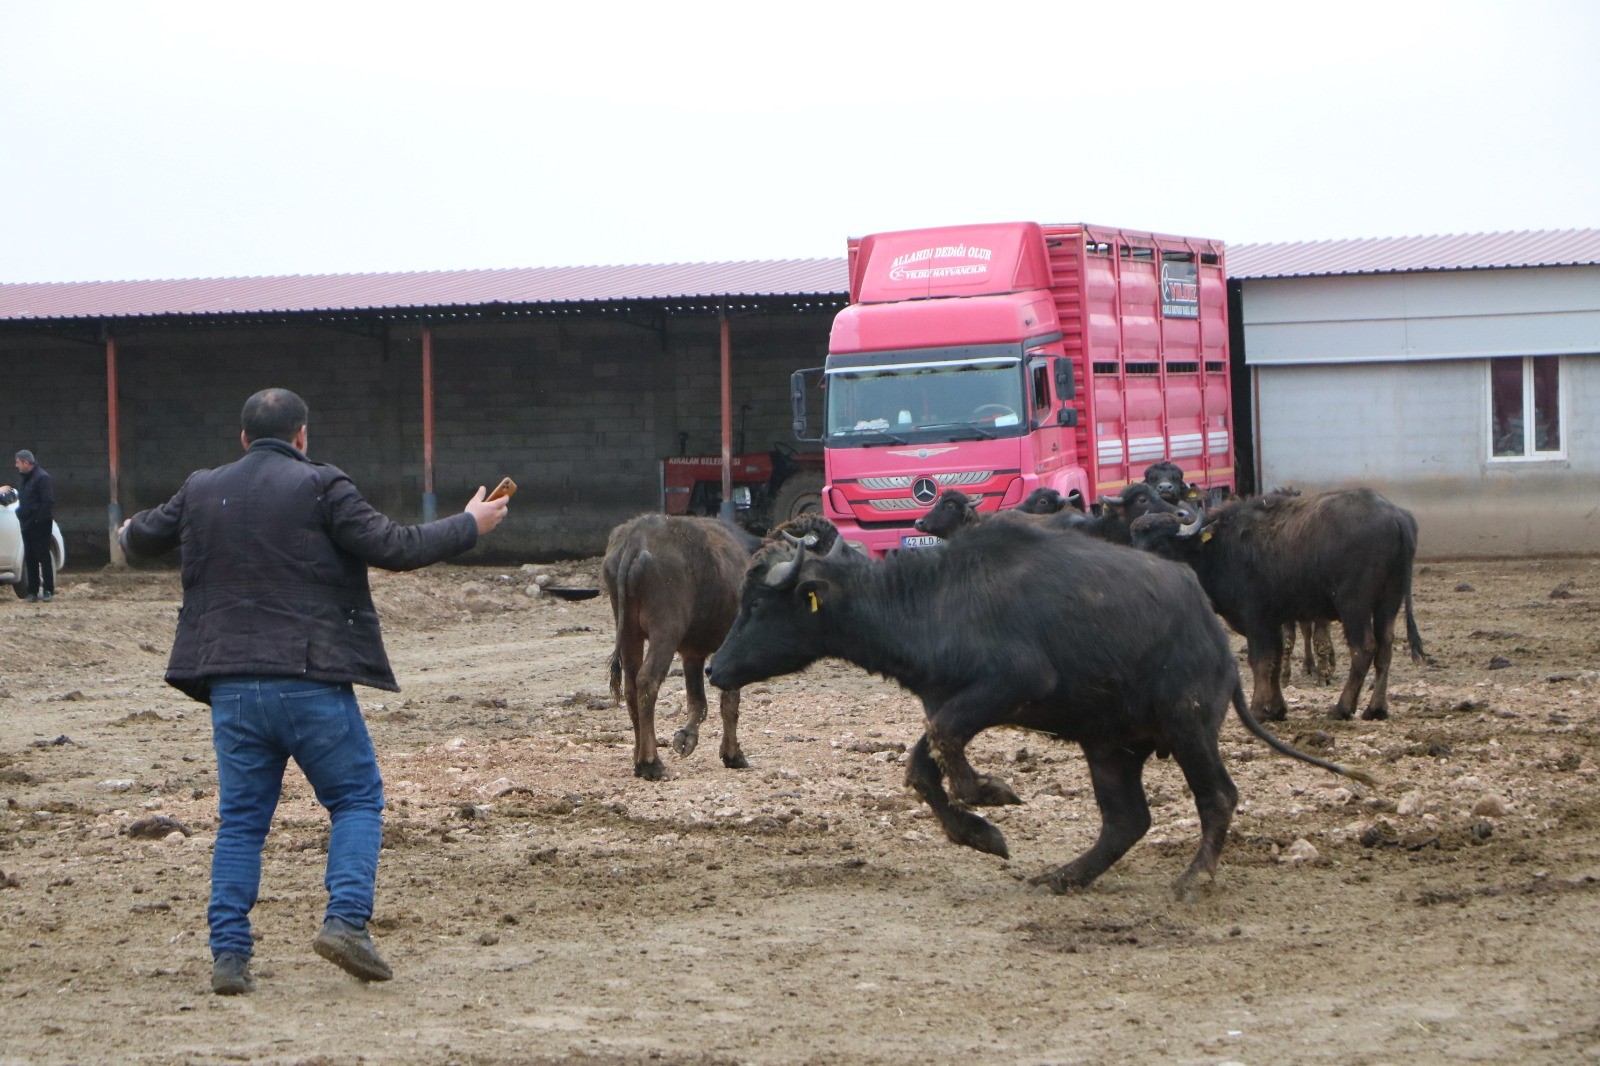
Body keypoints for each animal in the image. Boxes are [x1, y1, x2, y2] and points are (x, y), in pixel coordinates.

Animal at [601, 512, 761, 777]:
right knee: (647, 680)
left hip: (628, 632)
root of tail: (637, 537)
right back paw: (651, 763)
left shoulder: (691, 653)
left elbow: (698, 702)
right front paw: (732, 754)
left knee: (631, 686)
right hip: (666, 629)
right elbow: (728, 701)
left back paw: (638, 758)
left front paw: (686, 738)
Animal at [707, 515, 1369, 896]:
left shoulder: (1010, 683)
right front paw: (979, 833)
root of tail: (1211, 630)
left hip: (1189, 726)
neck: (933, 599)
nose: (714, 668)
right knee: (1126, 820)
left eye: (758, 605)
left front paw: (989, 793)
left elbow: (943, 745)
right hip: (1110, 745)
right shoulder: (953, 698)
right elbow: (923, 763)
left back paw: (1193, 878)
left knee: (1218, 798)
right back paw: (1067, 875)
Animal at [1126, 489, 1427, 723]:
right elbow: (1276, 658)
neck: (1218, 547)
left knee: (1363, 648)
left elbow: (1260, 660)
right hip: (1389, 602)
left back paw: (1342, 708)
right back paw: (1376, 708)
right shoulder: (1274, 620)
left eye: (1161, 543)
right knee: (1385, 648)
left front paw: (1259, 709)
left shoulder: (1256, 617)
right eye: (1134, 540)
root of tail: (1397, 517)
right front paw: (1277, 708)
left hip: (1355, 604)